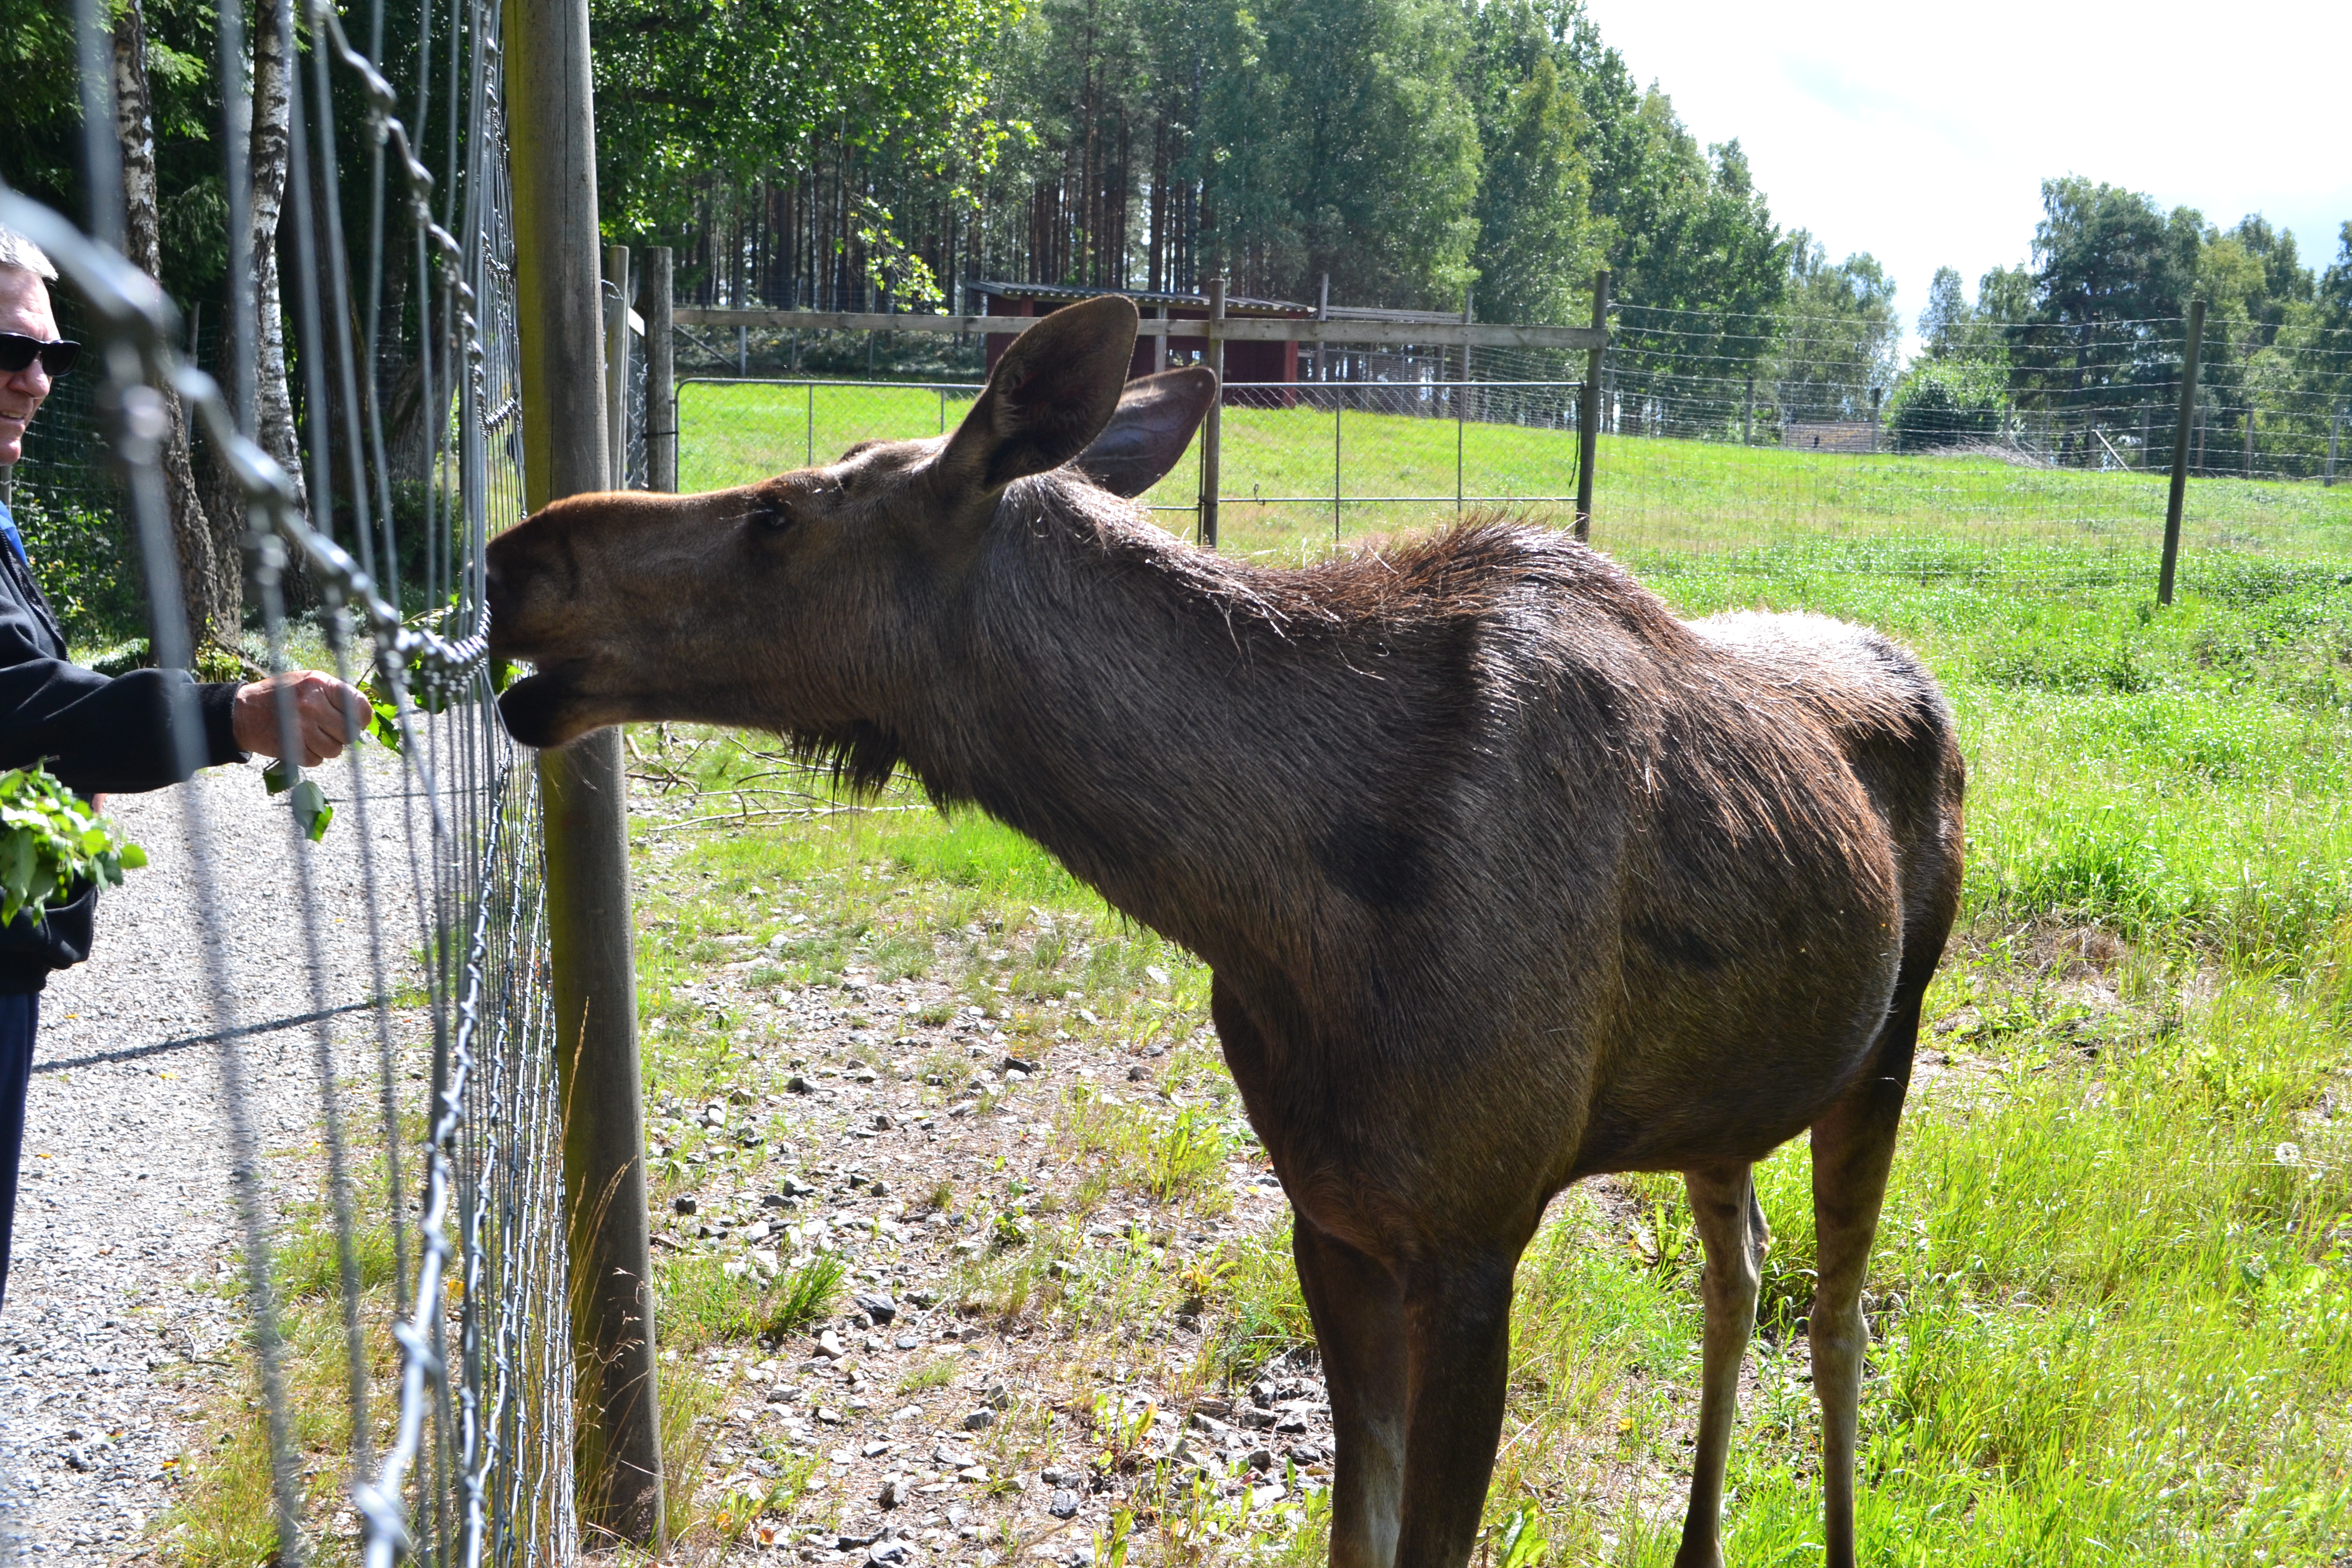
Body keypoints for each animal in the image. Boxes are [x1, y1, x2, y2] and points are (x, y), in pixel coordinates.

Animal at [492, 293, 1966, 1568]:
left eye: (776, 513)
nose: (514, 557)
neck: (1272, 913)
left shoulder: (1474, 1236)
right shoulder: (1331, 1213)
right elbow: (1356, 1532)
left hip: (1889, 1038)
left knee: (1835, 1311)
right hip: (1728, 1101)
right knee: (1741, 1271)